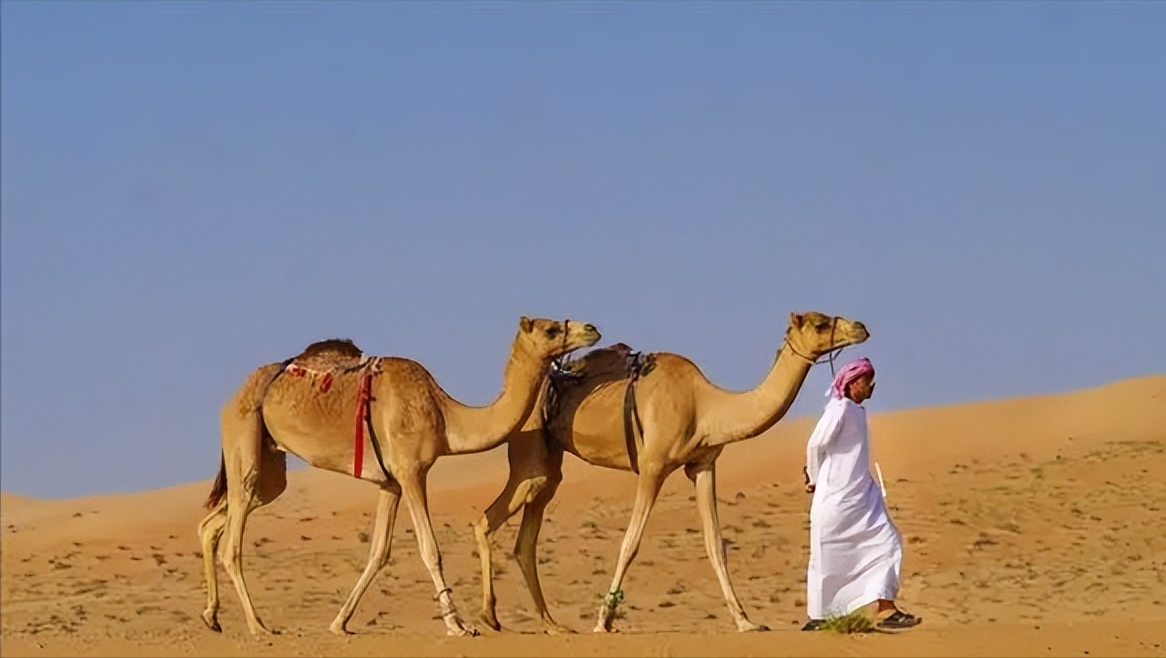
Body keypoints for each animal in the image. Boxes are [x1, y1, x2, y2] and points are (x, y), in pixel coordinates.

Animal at [194, 319, 601, 639]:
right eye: (551, 328)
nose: (592, 328)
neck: (444, 415)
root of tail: (233, 396)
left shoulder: (389, 482)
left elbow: (378, 553)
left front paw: (340, 623)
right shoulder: (411, 472)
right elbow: (429, 549)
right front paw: (458, 625)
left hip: (270, 468)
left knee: (214, 522)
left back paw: (212, 617)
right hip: (243, 436)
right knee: (232, 543)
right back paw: (257, 625)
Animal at [471, 310, 867, 634]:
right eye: (820, 323)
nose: (861, 327)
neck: (706, 405)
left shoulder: (703, 466)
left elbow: (715, 544)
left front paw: (745, 621)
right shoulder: (653, 465)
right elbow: (630, 542)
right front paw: (604, 620)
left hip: (549, 469)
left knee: (526, 540)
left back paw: (549, 625)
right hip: (531, 456)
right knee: (489, 518)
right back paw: (489, 617)